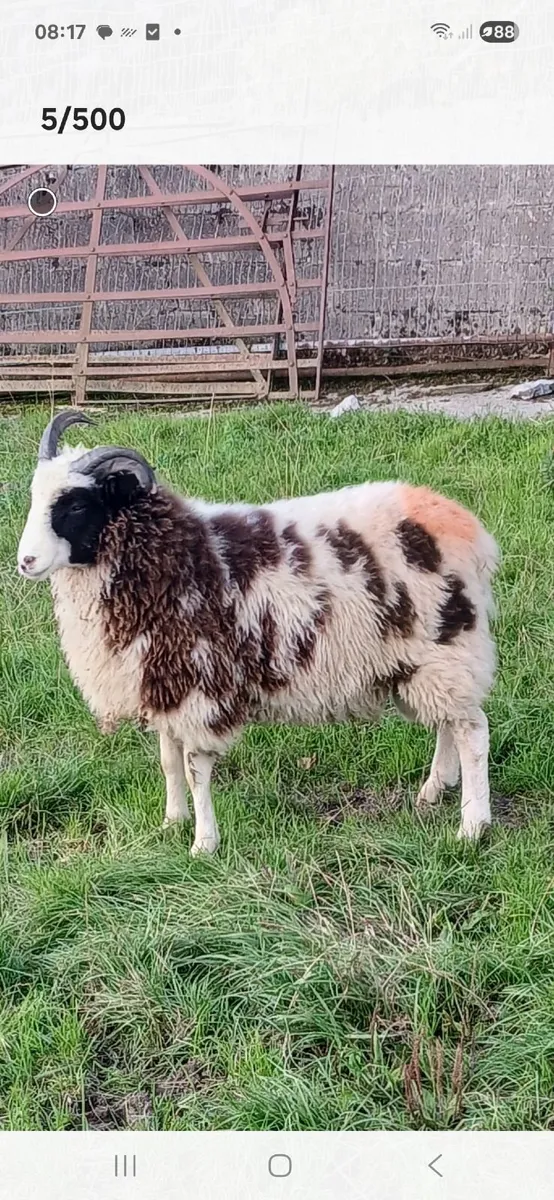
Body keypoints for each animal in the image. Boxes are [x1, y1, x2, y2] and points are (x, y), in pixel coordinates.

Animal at [17, 409, 499, 853]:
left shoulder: (199, 687)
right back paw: (433, 790)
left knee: (473, 733)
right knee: (448, 723)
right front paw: (171, 823)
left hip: (446, 645)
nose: (25, 562)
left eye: (76, 505)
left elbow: (194, 768)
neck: (167, 554)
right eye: (34, 496)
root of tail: (463, 524)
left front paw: (203, 844)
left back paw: (472, 827)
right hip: (423, 662)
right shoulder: (162, 681)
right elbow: (168, 761)